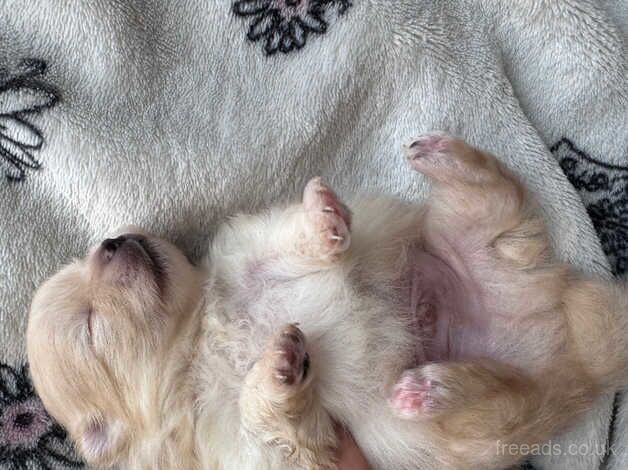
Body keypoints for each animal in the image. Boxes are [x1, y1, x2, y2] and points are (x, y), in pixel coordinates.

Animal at [25, 133, 628, 470]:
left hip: (472, 245)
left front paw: (320, 217)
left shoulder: (246, 257)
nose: (112, 241)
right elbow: (269, 420)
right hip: (464, 429)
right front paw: (278, 366)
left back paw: (443, 157)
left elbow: (285, 242)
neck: (202, 340)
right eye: (89, 326)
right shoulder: (250, 448)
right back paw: (429, 387)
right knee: (495, 392)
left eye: (90, 258)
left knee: (496, 195)